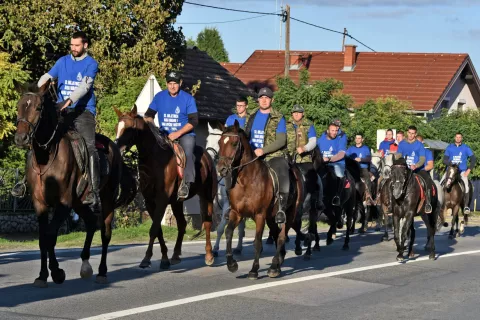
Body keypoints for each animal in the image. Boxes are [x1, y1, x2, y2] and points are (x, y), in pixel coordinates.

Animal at [14, 80, 136, 288]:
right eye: (19, 106)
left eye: (38, 108)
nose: (21, 138)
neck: (46, 158)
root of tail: (114, 147)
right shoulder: (40, 204)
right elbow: (42, 239)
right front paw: (42, 275)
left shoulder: (63, 203)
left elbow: (51, 236)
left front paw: (56, 272)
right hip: (79, 203)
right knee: (91, 222)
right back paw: (86, 265)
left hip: (107, 200)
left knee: (105, 233)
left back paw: (102, 272)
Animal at [113, 106, 217, 268]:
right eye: (117, 127)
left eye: (129, 129)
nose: (117, 148)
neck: (154, 158)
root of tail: (208, 156)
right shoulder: (151, 201)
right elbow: (158, 230)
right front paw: (163, 258)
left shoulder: (161, 199)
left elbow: (154, 228)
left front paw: (147, 258)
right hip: (176, 202)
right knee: (182, 224)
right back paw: (175, 255)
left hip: (207, 196)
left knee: (207, 222)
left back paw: (209, 256)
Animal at [205, 122, 246, 255]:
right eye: (207, 139)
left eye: (217, 141)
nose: (208, 155)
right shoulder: (215, 207)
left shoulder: (228, 206)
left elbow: (221, 227)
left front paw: (216, 248)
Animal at [217, 121, 302, 278]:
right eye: (220, 142)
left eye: (234, 143)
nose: (221, 169)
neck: (247, 181)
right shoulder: (237, 213)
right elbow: (229, 232)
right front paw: (232, 264)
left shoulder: (259, 215)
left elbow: (257, 242)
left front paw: (253, 270)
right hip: (271, 217)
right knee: (276, 234)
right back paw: (278, 262)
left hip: (289, 214)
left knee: (281, 236)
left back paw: (274, 267)